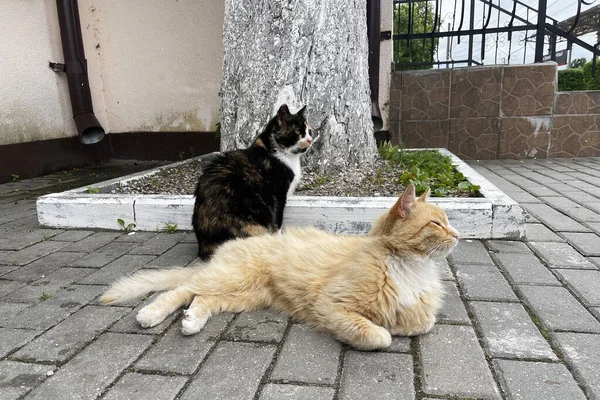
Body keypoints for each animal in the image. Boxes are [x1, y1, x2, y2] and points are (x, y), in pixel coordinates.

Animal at [102, 185, 460, 350]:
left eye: (447, 221)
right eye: (436, 224)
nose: (457, 234)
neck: (411, 267)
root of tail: (230, 246)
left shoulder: (422, 314)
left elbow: (420, 323)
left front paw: (398, 323)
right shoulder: (332, 304)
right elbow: (379, 335)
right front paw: (385, 328)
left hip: (244, 295)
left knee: (202, 298)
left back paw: (191, 322)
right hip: (233, 278)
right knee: (182, 289)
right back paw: (151, 314)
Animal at [192, 104, 314, 260]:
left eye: (309, 131)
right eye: (298, 131)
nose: (310, 139)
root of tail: (204, 247)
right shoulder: (278, 195)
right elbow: (277, 222)